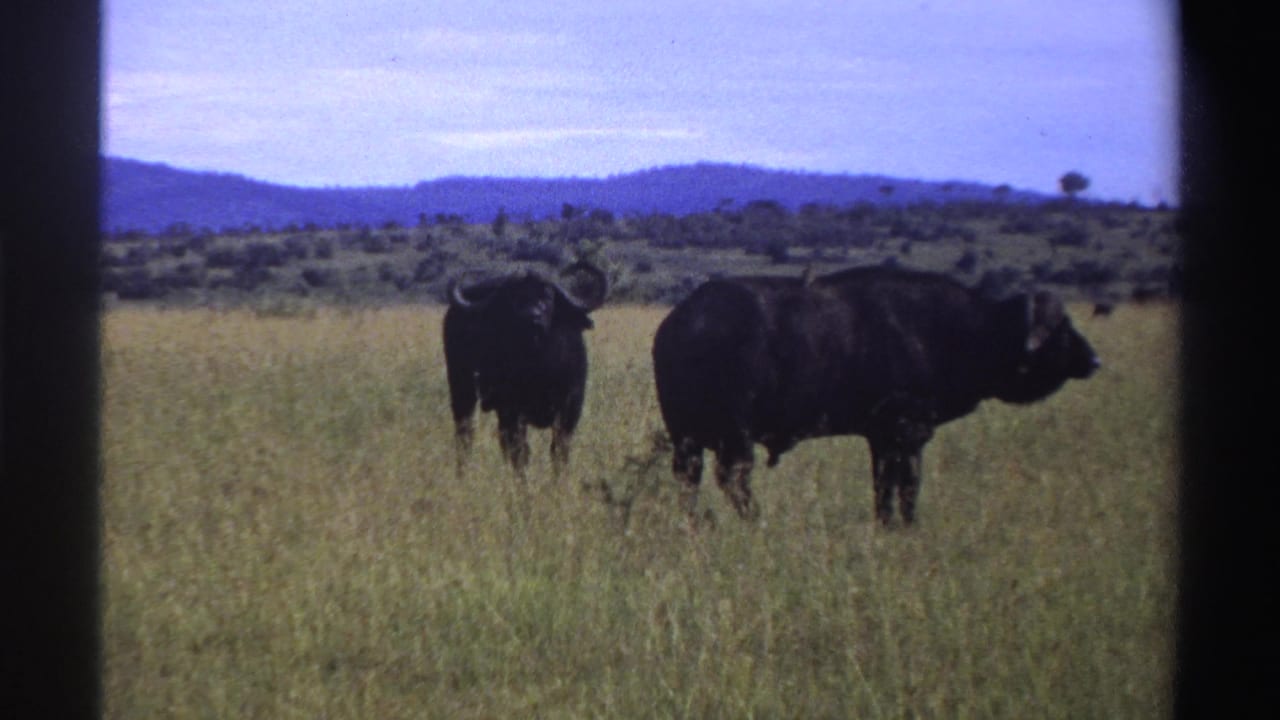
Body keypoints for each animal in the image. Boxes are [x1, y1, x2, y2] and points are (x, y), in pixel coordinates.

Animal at [443, 262, 608, 477]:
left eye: (547, 295)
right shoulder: (512, 411)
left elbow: (559, 450)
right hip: (462, 388)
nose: (532, 317)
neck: (538, 366)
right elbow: (520, 453)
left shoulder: (570, 408)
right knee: (465, 432)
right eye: (515, 297)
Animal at [651, 265, 1099, 525]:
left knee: (691, 480)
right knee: (735, 479)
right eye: (1061, 329)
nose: (1093, 360)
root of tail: (680, 323)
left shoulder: (882, 439)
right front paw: (907, 527)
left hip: (687, 439)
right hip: (734, 436)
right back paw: (755, 521)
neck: (961, 330)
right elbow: (907, 487)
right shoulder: (907, 433)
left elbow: (883, 488)